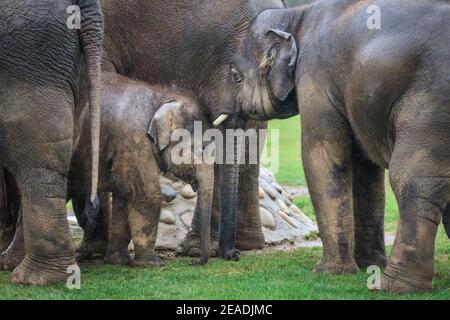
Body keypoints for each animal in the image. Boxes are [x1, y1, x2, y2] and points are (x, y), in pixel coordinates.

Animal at [70, 74, 216, 266]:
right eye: (199, 151)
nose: (192, 261)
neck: (162, 96)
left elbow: (123, 197)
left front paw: (119, 261)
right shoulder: (135, 141)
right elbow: (147, 195)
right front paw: (152, 263)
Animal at [229, 0, 450, 292]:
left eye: (235, 76)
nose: (233, 255)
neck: (297, 15)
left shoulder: (314, 74)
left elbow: (322, 152)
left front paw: (329, 272)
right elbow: (365, 168)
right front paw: (370, 264)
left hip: (432, 98)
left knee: (413, 177)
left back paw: (393, 286)